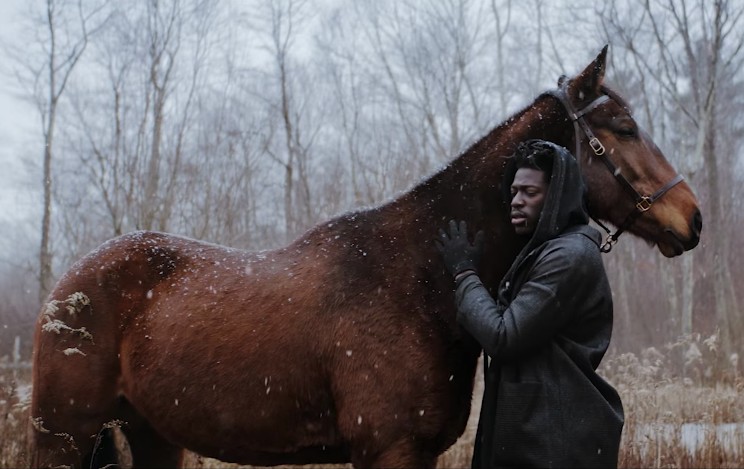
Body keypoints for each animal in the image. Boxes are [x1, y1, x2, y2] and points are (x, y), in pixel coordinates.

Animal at [30, 46, 704, 468]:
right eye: (623, 127)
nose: (692, 218)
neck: (417, 276)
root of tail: (69, 284)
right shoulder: (388, 449)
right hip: (63, 437)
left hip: (153, 436)